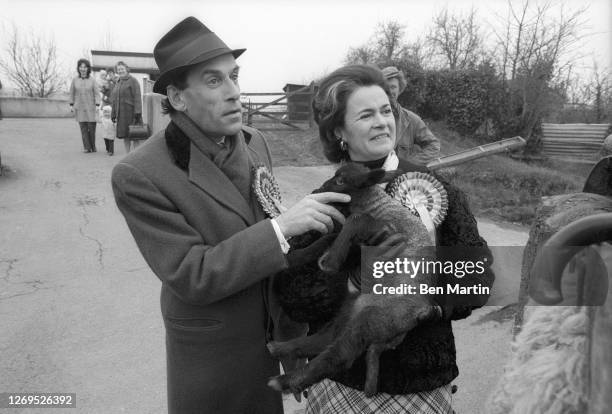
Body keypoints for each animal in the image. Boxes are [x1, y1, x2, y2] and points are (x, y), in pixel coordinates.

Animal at [268, 161, 436, 394]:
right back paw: (280, 348)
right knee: (327, 338)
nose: (317, 191)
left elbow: (356, 220)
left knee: (340, 354)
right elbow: (329, 237)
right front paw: (296, 256)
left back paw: (286, 381)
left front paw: (330, 261)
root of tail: (420, 315)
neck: (373, 203)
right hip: (354, 308)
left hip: (373, 318)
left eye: (340, 181)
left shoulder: (384, 229)